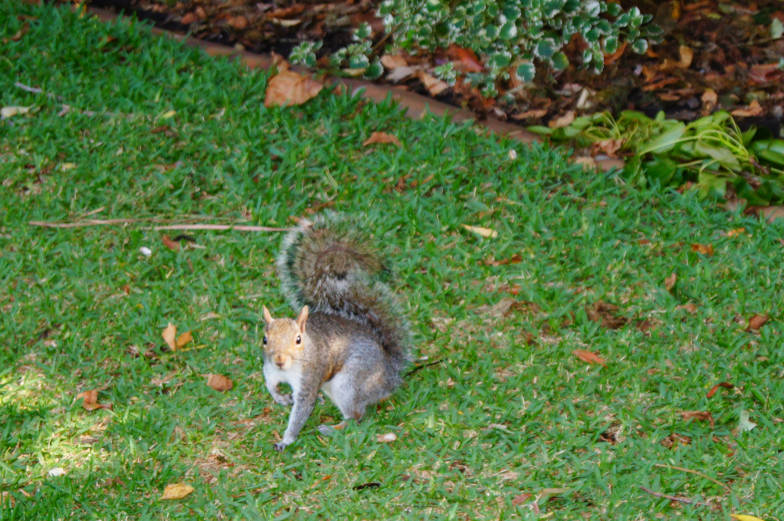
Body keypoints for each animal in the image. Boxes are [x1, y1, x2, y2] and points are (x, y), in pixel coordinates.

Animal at [262, 213, 410, 448]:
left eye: (298, 340)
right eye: (265, 340)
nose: (279, 360)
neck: (287, 370)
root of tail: (390, 375)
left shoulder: (310, 378)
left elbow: (302, 410)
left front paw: (287, 439)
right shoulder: (270, 369)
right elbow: (270, 383)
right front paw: (280, 397)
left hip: (349, 383)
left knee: (356, 416)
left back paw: (332, 429)